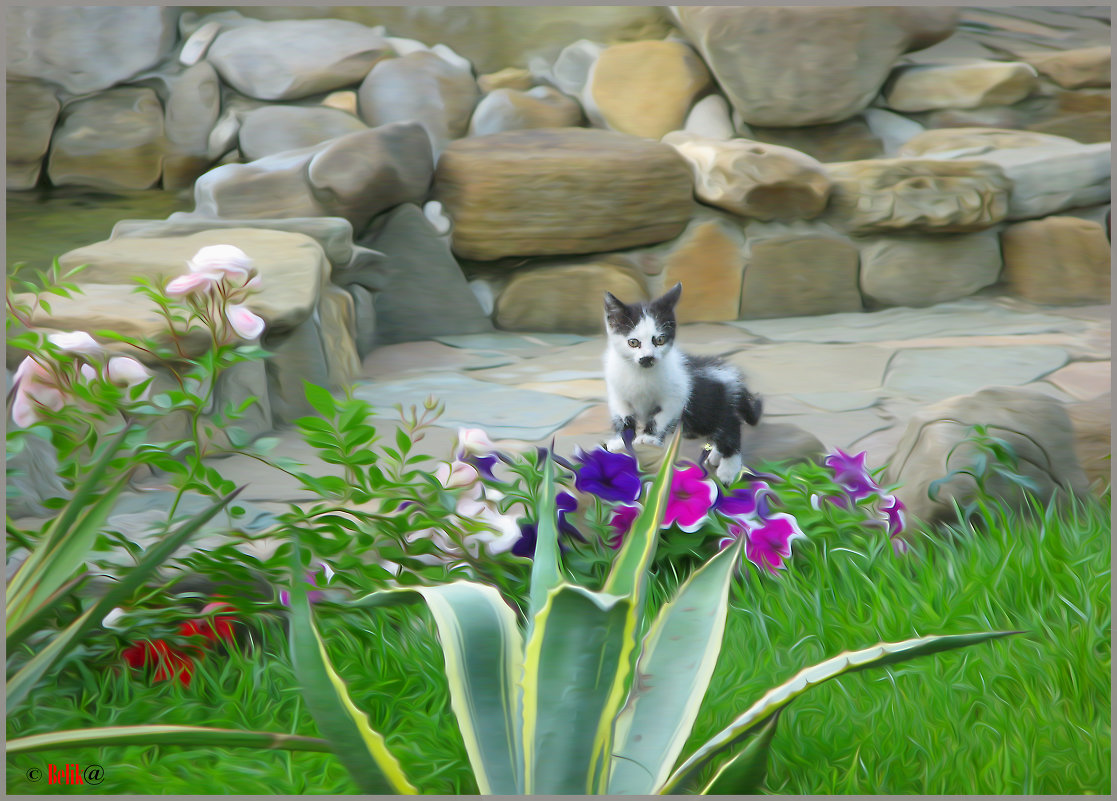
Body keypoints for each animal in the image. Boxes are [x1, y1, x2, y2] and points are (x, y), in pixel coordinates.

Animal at [607, 281, 764, 480]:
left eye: (660, 340)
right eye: (633, 342)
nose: (648, 357)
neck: (639, 373)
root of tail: (732, 376)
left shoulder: (675, 396)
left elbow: (659, 417)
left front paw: (648, 438)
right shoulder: (618, 396)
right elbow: (623, 417)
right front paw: (621, 441)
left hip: (708, 411)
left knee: (731, 427)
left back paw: (728, 470)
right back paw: (716, 455)